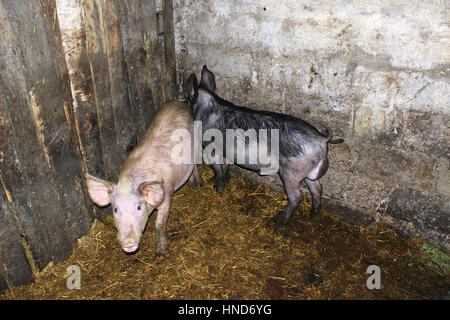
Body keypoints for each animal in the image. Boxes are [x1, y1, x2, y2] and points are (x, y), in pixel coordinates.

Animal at [85, 100, 201, 258]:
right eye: (115, 210)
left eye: (139, 207)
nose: (128, 243)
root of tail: (179, 102)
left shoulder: (166, 196)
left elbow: (159, 224)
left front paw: (161, 253)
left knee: (196, 164)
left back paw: (197, 184)